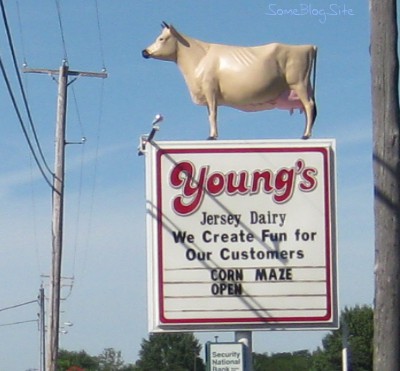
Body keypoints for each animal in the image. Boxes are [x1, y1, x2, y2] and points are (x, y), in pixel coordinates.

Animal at [142, 22, 318, 140]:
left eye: (161, 38)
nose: (145, 51)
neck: (199, 58)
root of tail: (308, 47)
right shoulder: (207, 95)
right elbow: (209, 114)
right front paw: (212, 134)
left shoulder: (210, 89)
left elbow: (213, 114)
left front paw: (212, 136)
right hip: (304, 86)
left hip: (299, 83)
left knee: (309, 106)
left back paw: (305, 135)